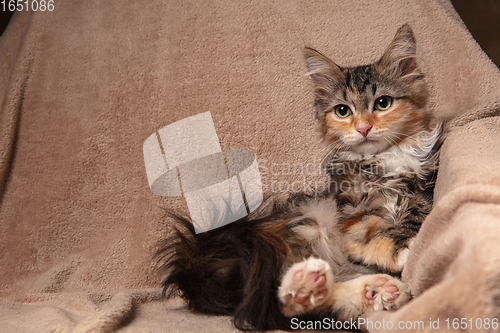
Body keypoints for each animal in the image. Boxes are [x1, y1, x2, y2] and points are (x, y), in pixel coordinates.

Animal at [156, 24, 442, 330]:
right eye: (343, 111)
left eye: (383, 103)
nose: (363, 128)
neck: (384, 161)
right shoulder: (351, 211)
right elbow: (374, 231)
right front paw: (404, 248)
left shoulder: (421, 192)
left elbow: (412, 217)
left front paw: (410, 239)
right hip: (309, 223)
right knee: (279, 305)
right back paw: (310, 286)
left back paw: (370, 290)